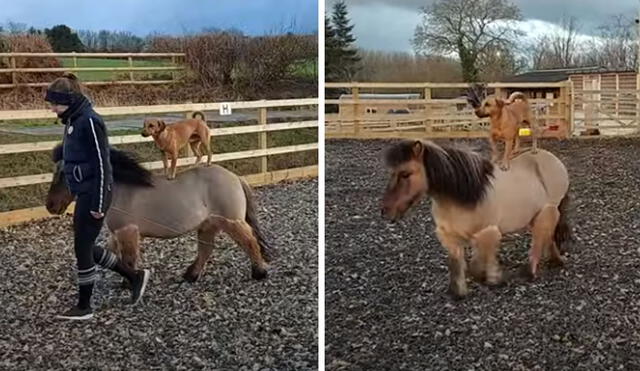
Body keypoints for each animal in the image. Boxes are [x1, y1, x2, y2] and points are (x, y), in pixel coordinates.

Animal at [382, 140, 572, 300]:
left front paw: (495, 278)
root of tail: (551, 158)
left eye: (405, 174)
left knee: (540, 239)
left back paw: (531, 272)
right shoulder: (449, 237)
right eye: (391, 174)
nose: (386, 211)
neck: (464, 196)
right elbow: (457, 265)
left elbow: (476, 266)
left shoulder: (487, 232)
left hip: (548, 211)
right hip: (536, 216)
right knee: (548, 235)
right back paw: (556, 260)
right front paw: (458, 293)